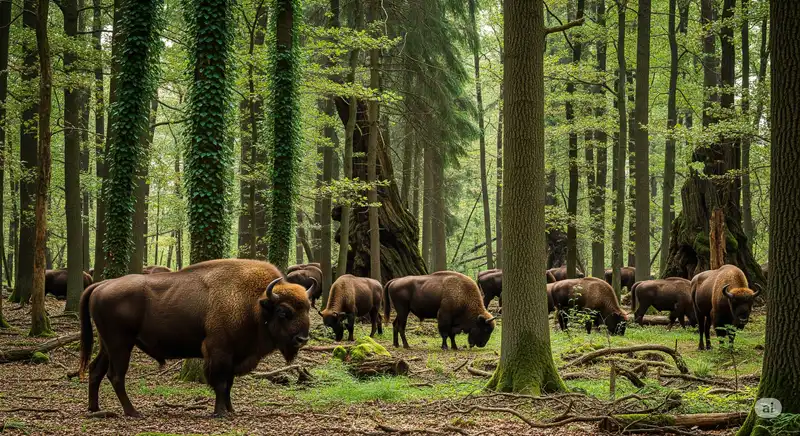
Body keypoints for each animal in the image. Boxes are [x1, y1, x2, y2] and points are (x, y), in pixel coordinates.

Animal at [78, 259, 311, 417]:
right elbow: (220, 383)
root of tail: (101, 285)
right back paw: (133, 412)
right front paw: (221, 413)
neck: (255, 303)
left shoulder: (234, 355)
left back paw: (95, 408)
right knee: (116, 375)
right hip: (120, 345)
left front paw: (231, 410)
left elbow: (229, 383)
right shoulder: (219, 351)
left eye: (308, 308)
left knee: (96, 370)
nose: (302, 339)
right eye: (283, 312)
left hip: (107, 345)